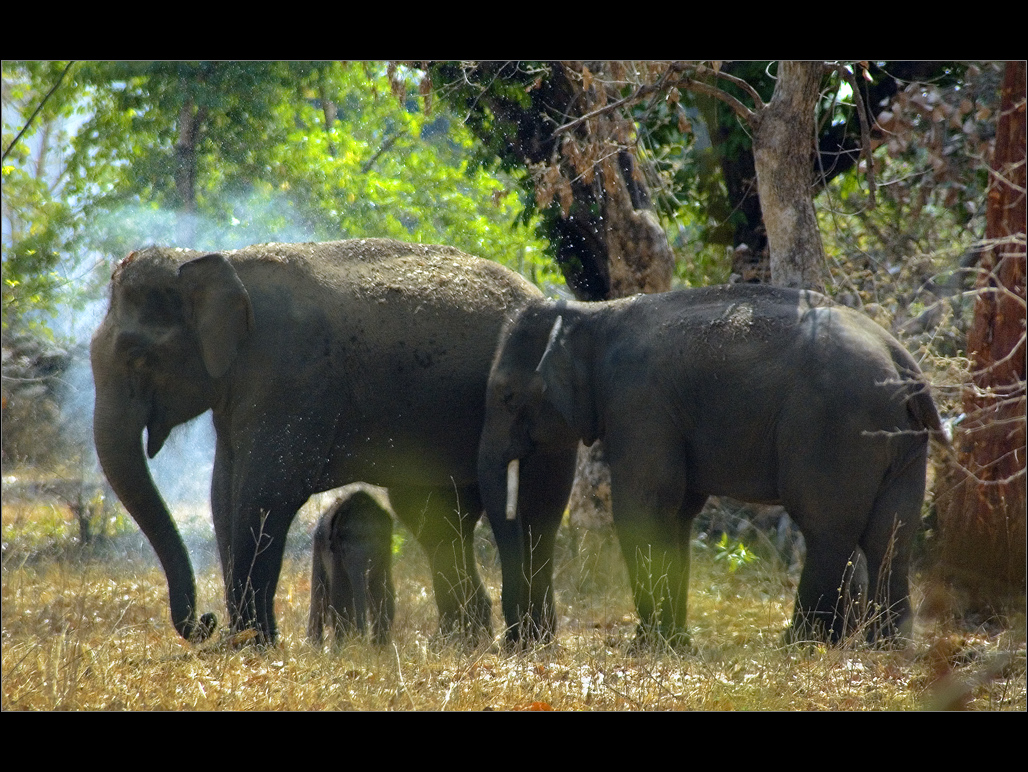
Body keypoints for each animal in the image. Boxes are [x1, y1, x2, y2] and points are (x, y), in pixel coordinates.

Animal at [306, 489, 394, 645]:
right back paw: (314, 647)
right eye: (344, 550)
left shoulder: (385, 558)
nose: (361, 637)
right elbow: (341, 598)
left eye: (376, 552)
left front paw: (380, 648)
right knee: (320, 598)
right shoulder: (336, 556)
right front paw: (342, 648)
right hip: (318, 549)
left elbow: (384, 594)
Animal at [476, 281, 941, 645]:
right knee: (891, 531)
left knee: (827, 528)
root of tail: (902, 359)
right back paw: (886, 647)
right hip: (903, 442)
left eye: (506, 395)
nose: (516, 640)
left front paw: (647, 647)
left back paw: (801, 645)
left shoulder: (639, 401)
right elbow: (678, 512)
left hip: (836, 426)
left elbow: (642, 507)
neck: (593, 313)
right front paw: (673, 643)